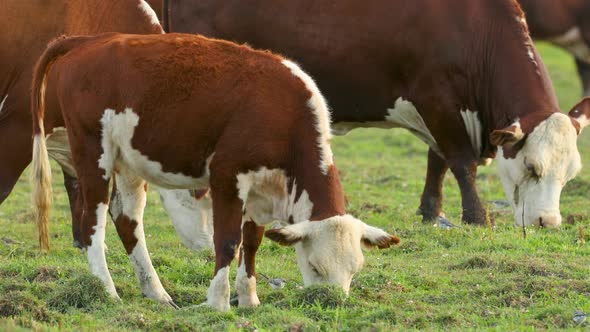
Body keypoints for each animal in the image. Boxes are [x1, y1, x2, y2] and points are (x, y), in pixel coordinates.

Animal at [28, 33, 402, 312]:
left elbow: (252, 243)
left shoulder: (260, 192)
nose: (331, 302)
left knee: (126, 219)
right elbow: (228, 241)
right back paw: (106, 289)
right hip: (94, 152)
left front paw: (249, 300)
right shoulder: (227, 177)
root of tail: (89, 40)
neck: (281, 113)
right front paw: (218, 302)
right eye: (315, 267)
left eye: (354, 270)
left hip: (129, 161)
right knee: (92, 219)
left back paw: (157, 293)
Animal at [163, 0, 590, 228]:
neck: (475, 30)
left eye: (570, 175)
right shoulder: (438, 101)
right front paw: (476, 217)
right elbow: (461, 162)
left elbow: (437, 161)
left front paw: (430, 212)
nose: (548, 223)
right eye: (532, 167)